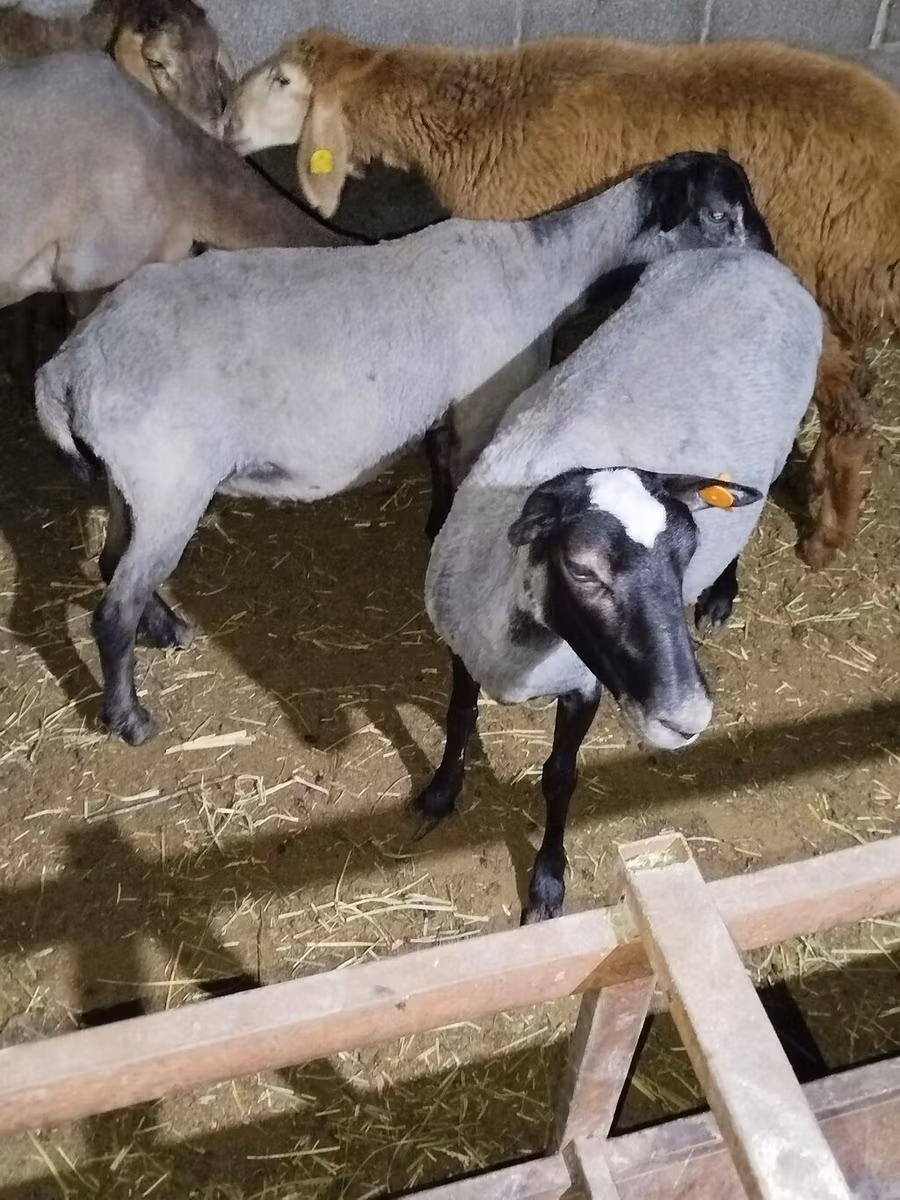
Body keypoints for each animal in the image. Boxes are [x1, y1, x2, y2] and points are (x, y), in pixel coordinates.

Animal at [32, 149, 768, 746]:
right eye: (716, 214)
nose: (770, 262)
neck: (544, 266)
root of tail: (68, 367)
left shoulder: (449, 412)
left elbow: (442, 467)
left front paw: (434, 526)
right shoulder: (485, 404)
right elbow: (467, 480)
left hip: (136, 480)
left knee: (112, 560)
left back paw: (163, 629)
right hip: (171, 480)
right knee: (111, 610)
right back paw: (129, 718)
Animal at [222, 29, 894, 570]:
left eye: (283, 80)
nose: (225, 121)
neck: (475, 117)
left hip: (813, 280)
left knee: (852, 406)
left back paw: (827, 536)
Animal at [422, 247, 823, 923]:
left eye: (687, 552)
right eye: (583, 569)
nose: (688, 718)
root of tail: (751, 256)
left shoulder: (583, 686)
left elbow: (559, 776)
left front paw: (547, 884)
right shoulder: (462, 644)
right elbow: (458, 719)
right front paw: (439, 794)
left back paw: (721, 595)